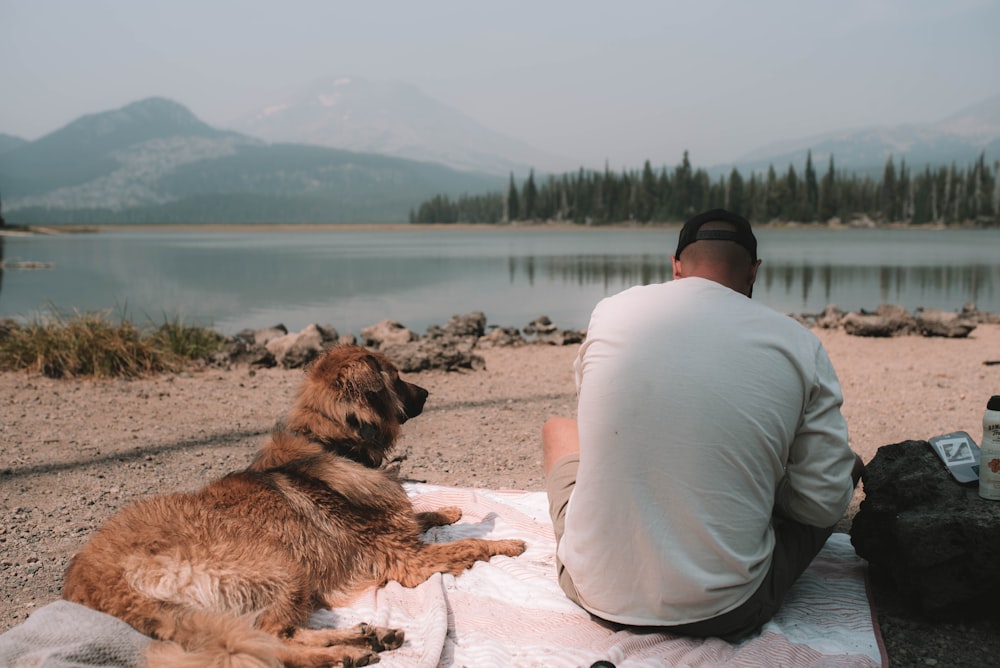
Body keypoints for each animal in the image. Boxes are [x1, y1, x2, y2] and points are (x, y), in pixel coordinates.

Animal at [62, 348, 528, 664]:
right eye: (396, 378)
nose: (428, 392)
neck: (330, 443)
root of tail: (97, 583)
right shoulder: (405, 558)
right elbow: (466, 545)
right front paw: (507, 545)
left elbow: (421, 516)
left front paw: (448, 512)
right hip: (278, 566)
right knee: (270, 642)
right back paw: (341, 654)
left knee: (273, 635)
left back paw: (365, 638)